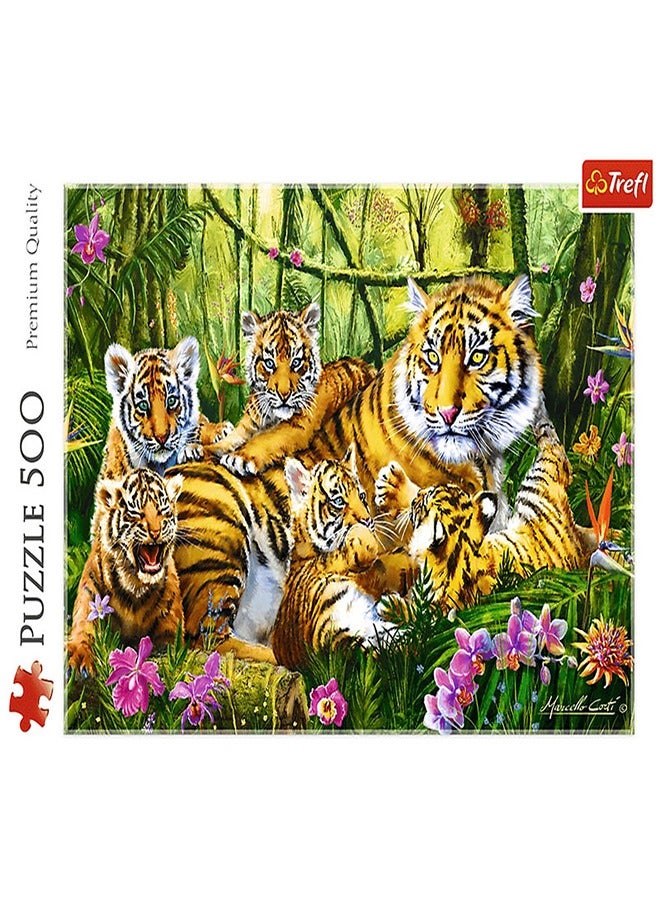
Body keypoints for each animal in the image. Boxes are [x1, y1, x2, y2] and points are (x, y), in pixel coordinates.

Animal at [67, 468, 184, 674]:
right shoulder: (90, 597)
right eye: (136, 512)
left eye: (162, 510)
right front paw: (78, 656)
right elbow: (83, 629)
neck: (135, 584)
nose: (155, 532)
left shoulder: (170, 624)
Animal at [209, 302, 376, 476]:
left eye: (296, 362)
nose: (284, 395)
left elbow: (266, 438)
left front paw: (238, 457)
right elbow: (230, 438)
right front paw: (207, 448)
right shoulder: (248, 425)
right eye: (269, 363)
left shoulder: (298, 425)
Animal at [374, 406, 594, 614]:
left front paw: (389, 606)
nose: (420, 496)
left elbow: (412, 615)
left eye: (425, 500)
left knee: (555, 448)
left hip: (542, 479)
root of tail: (577, 539)